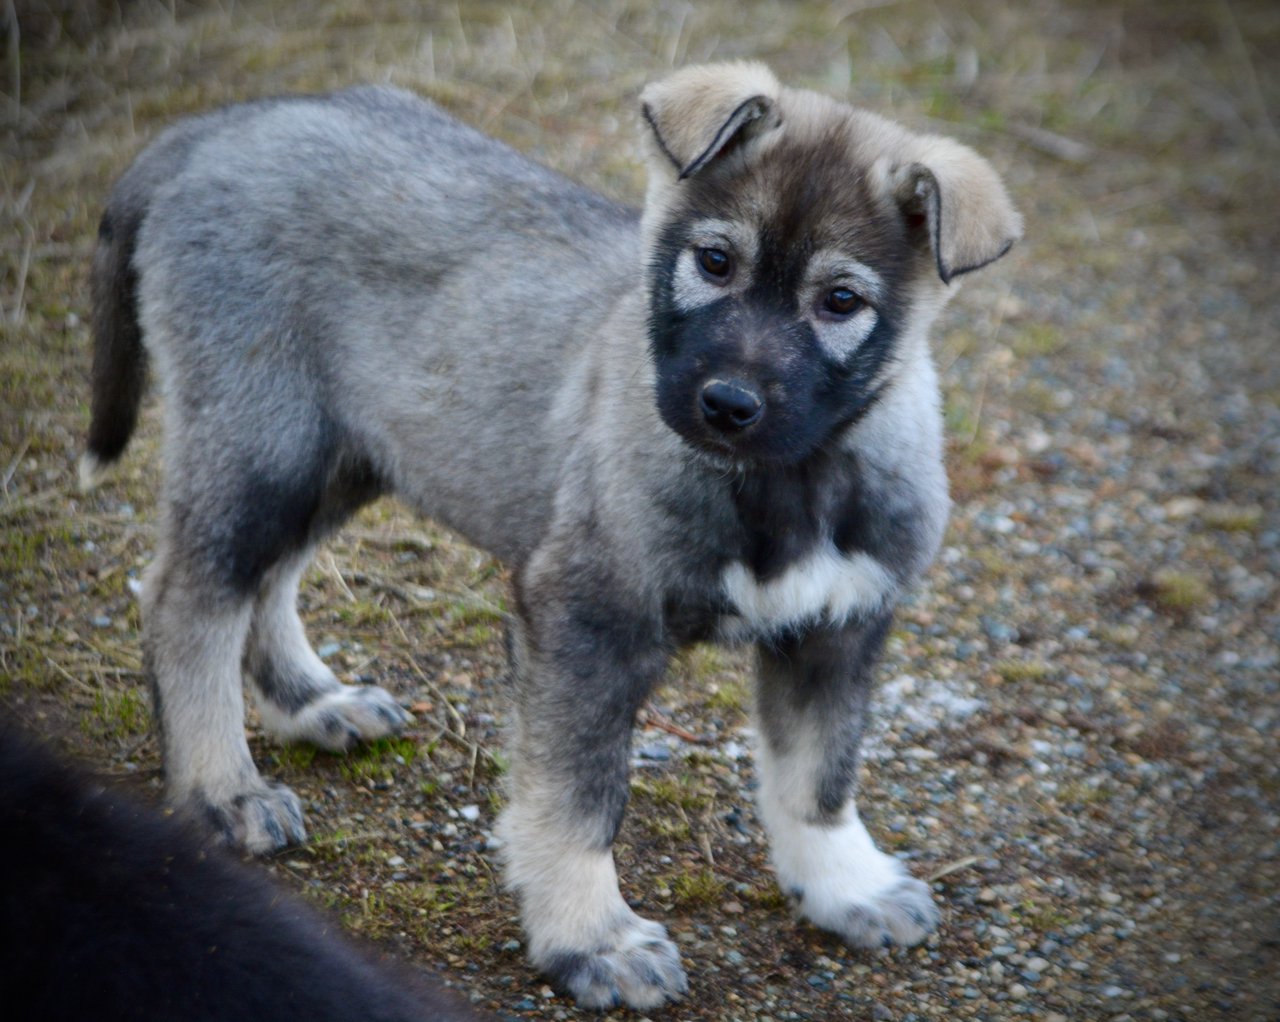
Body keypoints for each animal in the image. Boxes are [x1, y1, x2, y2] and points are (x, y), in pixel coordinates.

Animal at [82, 65, 1018, 1014]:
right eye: (715, 262)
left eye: (841, 302)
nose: (726, 405)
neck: (788, 482)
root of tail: (221, 127)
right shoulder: (586, 619)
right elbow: (578, 800)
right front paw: (591, 938)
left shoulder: (838, 630)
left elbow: (818, 778)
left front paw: (843, 886)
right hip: (263, 435)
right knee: (190, 599)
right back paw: (220, 790)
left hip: (343, 448)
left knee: (266, 581)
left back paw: (312, 703)